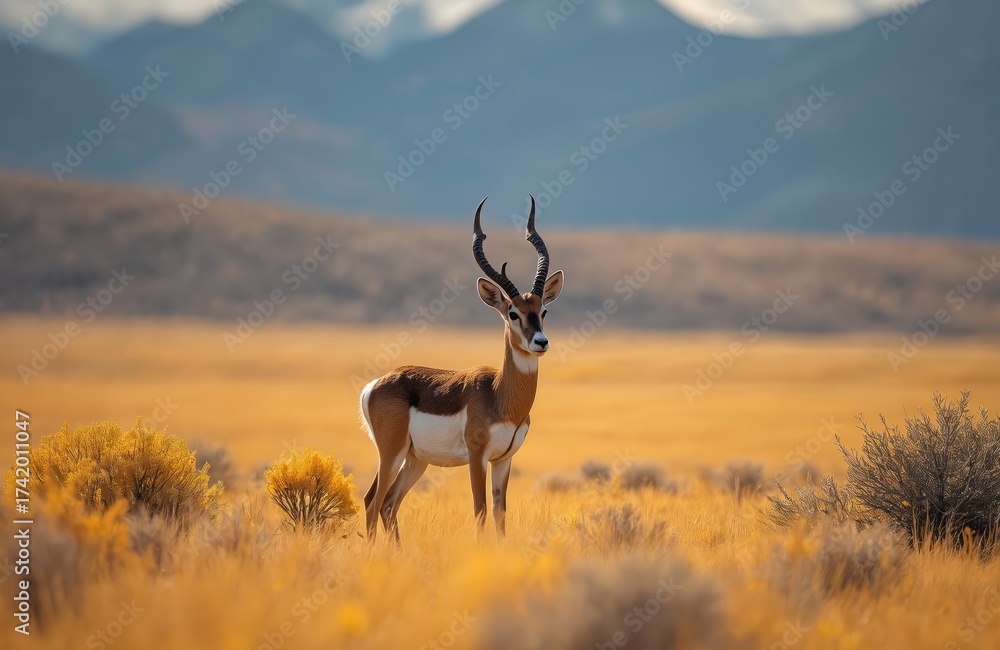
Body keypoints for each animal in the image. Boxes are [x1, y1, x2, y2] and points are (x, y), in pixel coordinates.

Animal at [359, 195, 564, 542]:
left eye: (543, 311)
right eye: (512, 313)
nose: (540, 342)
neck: (500, 396)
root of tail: (374, 385)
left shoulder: (504, 459)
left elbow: (500, 514)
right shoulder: (477, 457)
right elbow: (480, 511)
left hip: (415, 460)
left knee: (388, 504)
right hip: (392, 453)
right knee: (373, 502)